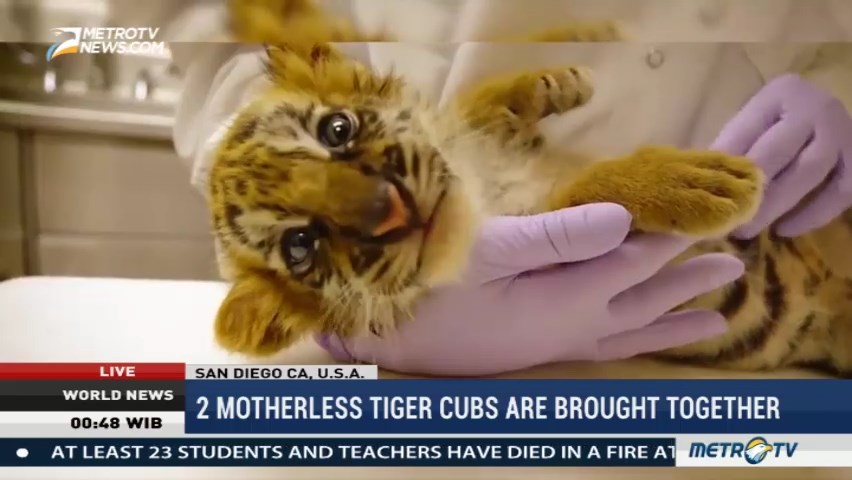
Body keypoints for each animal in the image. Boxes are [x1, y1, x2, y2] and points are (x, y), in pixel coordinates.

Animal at [207, 0, 852, 377]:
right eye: (301, 246)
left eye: (335, 130)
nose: (393, 210)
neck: (479, 187)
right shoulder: (572, 261)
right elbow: (589, 192)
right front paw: (701, 181)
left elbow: (481, 103)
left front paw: (559, 80)